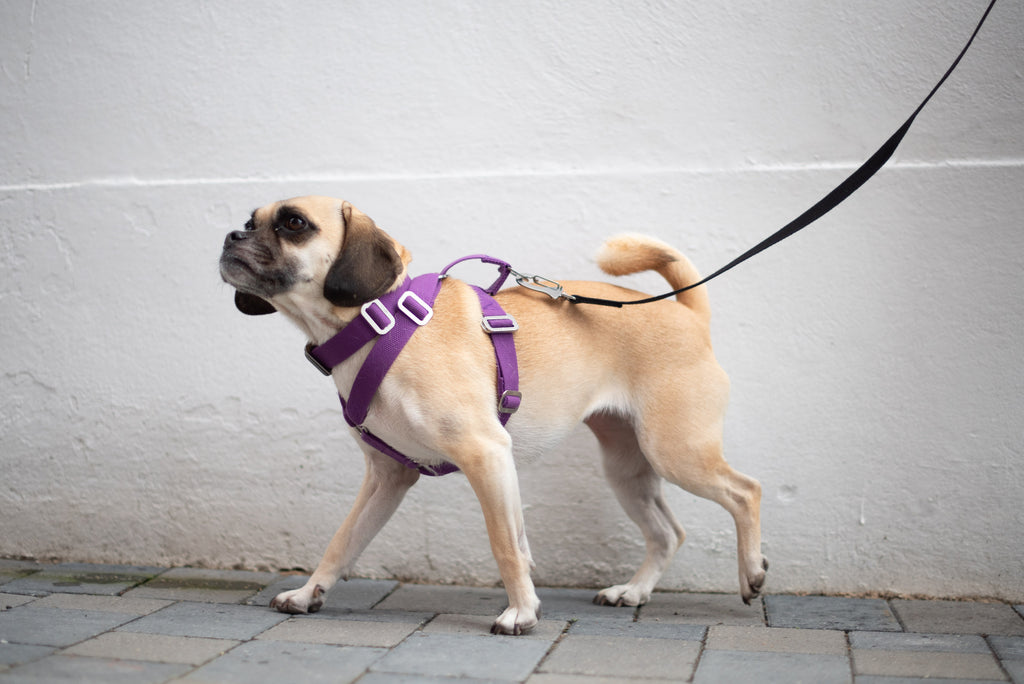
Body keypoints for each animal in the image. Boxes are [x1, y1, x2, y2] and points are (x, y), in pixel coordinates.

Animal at [220, 194, 765, 634]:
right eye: (250, 220)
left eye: (293, 223)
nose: (231, 234)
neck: (381, 324)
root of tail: (687, 312)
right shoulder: (389, 477)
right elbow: (343, 542)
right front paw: (308, 592)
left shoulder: (486, 456)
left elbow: (505, 545)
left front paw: (521, 612)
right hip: (628, 470)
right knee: (667, 533)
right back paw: (633, 591)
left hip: (676, 452)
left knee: (745, 491)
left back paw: (751, 572)